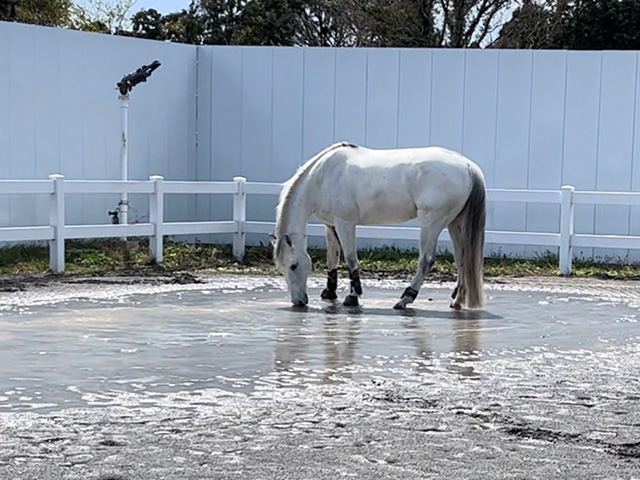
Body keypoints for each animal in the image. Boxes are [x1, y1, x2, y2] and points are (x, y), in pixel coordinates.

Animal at [268, 141, 484, 310]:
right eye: (281, 267)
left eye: (294, 265)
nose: (298, 301)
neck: (324, 176)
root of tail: (468, 166)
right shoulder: (330, 225)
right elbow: (332, 258)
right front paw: (330, 292)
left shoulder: (345, 223)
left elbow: (350, 258)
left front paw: (353, 296)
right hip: (455, 224)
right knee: (462, 259)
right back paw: (457, 300)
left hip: (432, 223)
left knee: (426, 260)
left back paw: (405, 299)